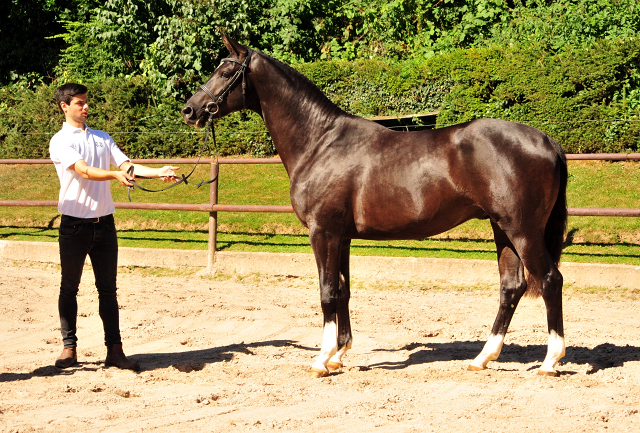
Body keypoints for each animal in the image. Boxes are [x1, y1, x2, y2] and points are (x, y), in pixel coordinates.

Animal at [182, 35, 568, 376]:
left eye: (225, 71)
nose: (190, 109)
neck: (319, 142)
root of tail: (546, 140)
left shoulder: (323, 232)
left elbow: (327, 292)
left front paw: (321, 360)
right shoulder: (342, 237)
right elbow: (343, 290)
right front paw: (338, 354)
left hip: (522, 230)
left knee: (550, 280)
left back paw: (550, 361)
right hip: (502, 229)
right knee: (511, 287)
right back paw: (482, 358)